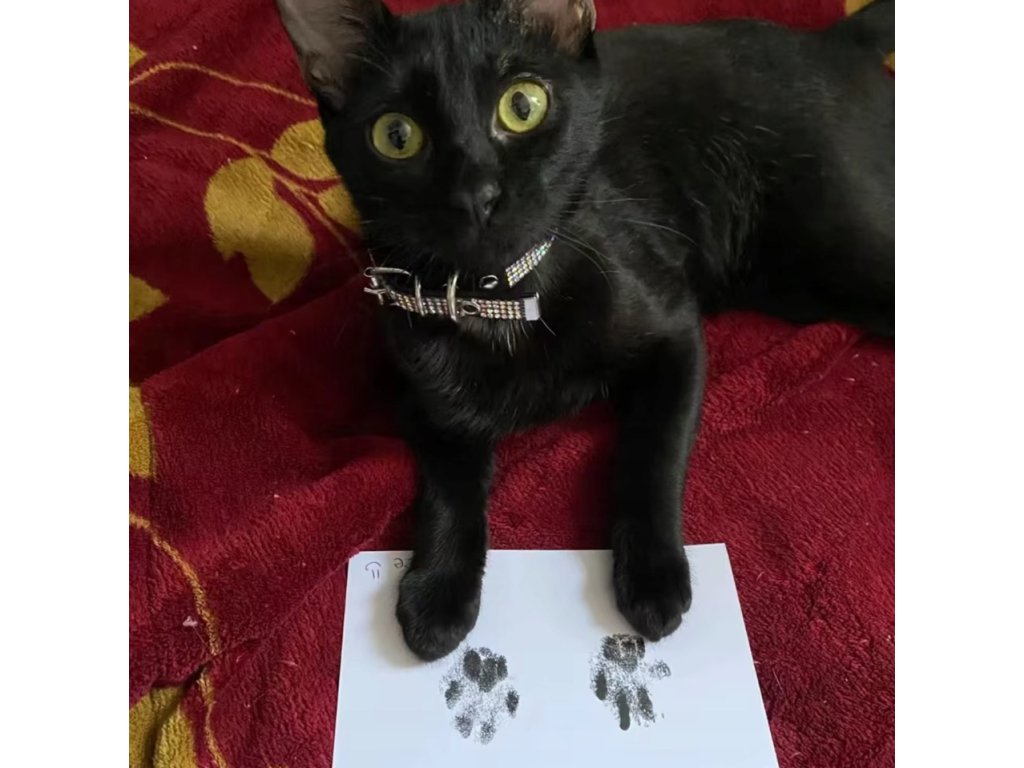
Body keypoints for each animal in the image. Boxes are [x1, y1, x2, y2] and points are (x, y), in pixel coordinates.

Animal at [275, 0, 894, 661]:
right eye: (397, 135)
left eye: (523, 106)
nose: (476, 194)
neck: (504, 301)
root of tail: (831, 40)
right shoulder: (421, 396)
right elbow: (448, 488)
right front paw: (437, 592)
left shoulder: (676, 332)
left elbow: (651, 454)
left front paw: (653, 577)